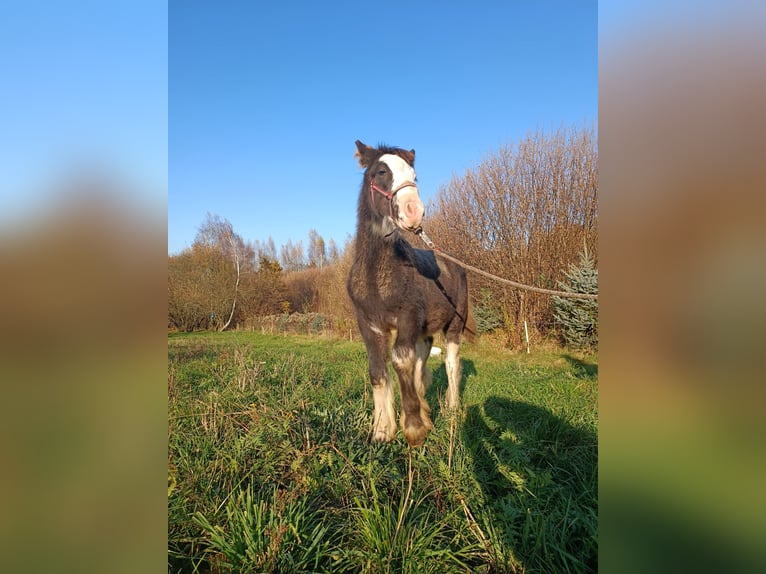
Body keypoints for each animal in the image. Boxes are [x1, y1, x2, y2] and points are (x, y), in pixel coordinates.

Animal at [350, 141, 474, 450]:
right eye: (381, 172)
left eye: (414, 176)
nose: (414, 211)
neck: (377, 275)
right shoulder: (368, 324)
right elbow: (378, 371)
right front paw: (383, 430)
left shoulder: (407, 317)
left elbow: (400, 361)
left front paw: (415, 428)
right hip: (424, 332)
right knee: (421, 364)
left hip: (454, 326)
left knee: (451, 364)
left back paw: (451, 408)